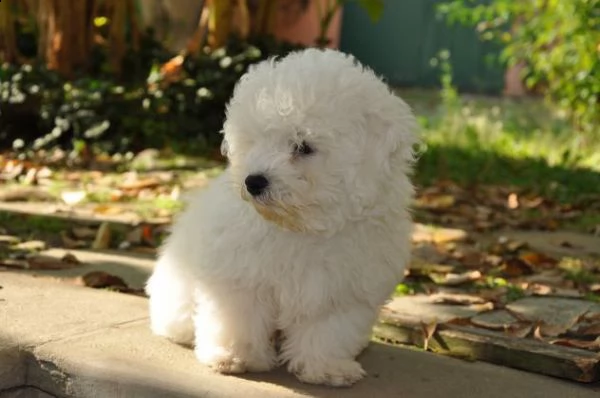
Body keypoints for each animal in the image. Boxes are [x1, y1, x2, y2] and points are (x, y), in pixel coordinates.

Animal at [145, 46, 418, 386]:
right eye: (254, 141)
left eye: (303, 146)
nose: (253, 181)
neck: (301, 226)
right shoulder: (239, 275)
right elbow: (238, 317)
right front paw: (235, 356)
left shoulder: (343, 290)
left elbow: (329, 331)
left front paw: (325, 367)